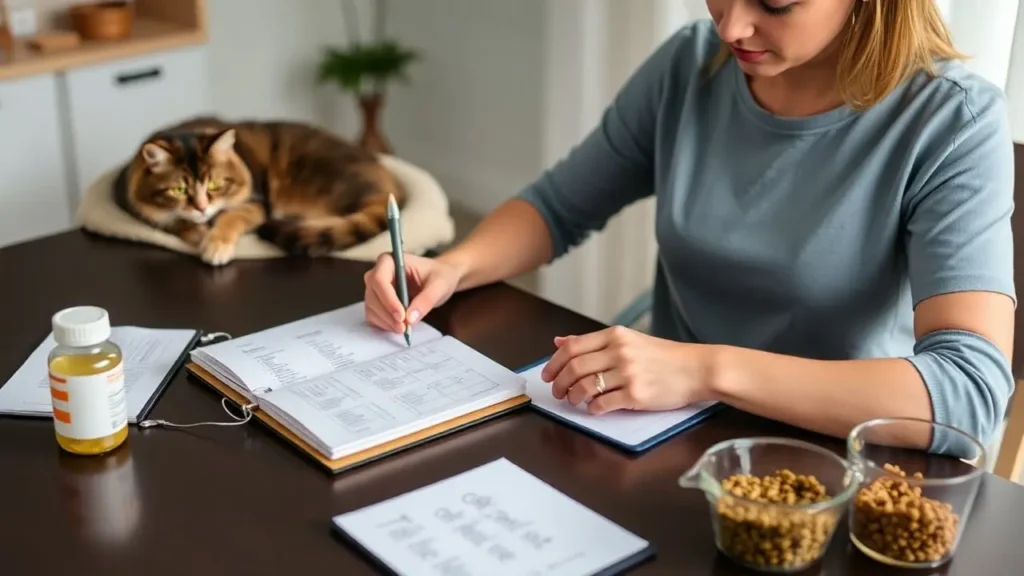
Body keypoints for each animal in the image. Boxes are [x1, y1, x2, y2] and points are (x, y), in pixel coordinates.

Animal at [112, 114, 399, 266]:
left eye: (215, 184)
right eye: (179, 190)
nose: (202, 208)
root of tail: (387, 183)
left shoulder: (258, 203)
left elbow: (231, 217)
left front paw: (215, 245)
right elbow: (178, 222)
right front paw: (200, 234)